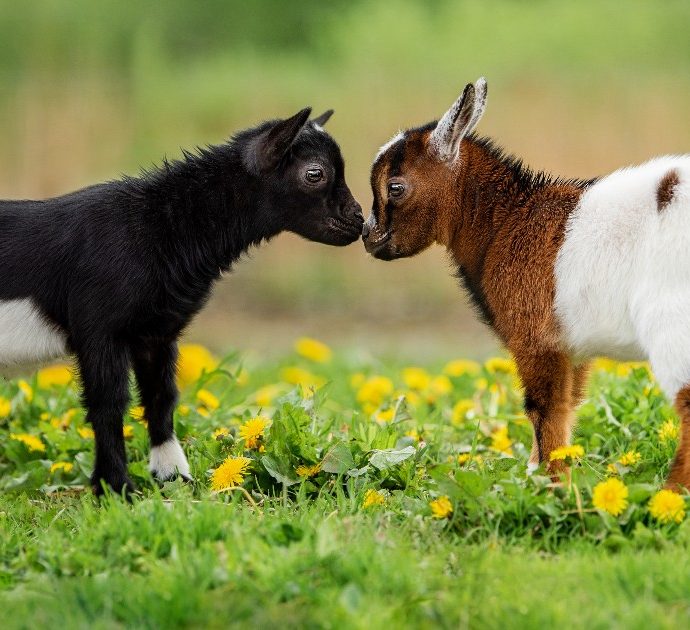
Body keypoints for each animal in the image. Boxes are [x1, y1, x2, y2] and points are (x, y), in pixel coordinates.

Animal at [362, 79, 688, 492]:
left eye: (395, 186)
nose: (368, 237)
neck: (509, 221)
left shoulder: (536, 338)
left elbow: (542, 411)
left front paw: (551, 485)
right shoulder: (572, 347)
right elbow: (566, 409)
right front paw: (544, 478)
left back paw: (671, 494)